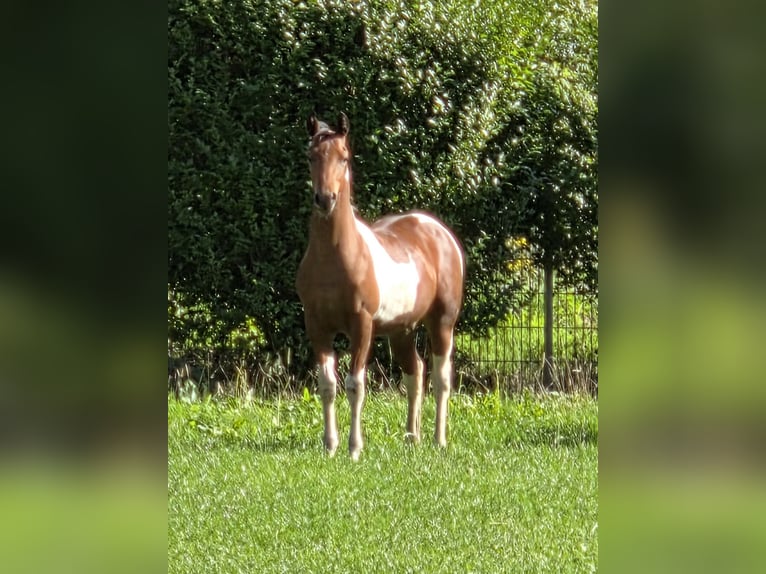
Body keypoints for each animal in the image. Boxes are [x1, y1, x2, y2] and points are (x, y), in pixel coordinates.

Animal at [296, 112, 465, 460]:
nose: (325, 199)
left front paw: (354, 448)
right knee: (415, 372)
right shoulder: (316, 326)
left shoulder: (362, 327)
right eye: (311, 156)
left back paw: (439, 439)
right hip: (401, 330)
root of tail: (439, 232)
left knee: (441, 377)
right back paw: (412, 437)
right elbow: (327, 385)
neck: (335, 257)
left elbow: (355, 385)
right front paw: (330, 446)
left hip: (442, 323)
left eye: (344, 157)